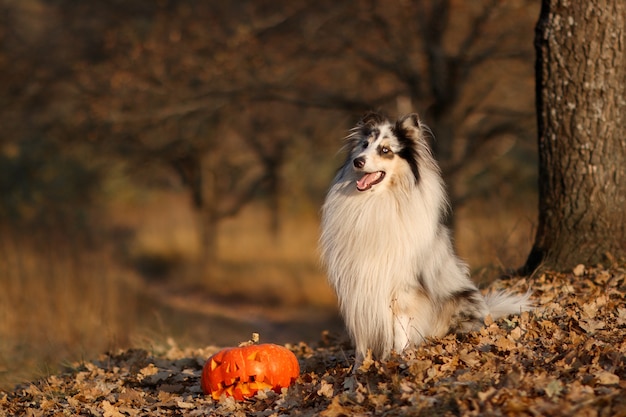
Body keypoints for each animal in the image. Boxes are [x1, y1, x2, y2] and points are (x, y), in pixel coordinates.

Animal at [320, 112, 528, 362]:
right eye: (364, 145)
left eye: (385, 150)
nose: (358, 161)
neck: (376, 202)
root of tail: (488, 309)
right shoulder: (358, 286)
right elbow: (362, 339)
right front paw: (360, 366)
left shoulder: (402, 285)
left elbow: (399, 327)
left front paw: (398, 358)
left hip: (458, 299)